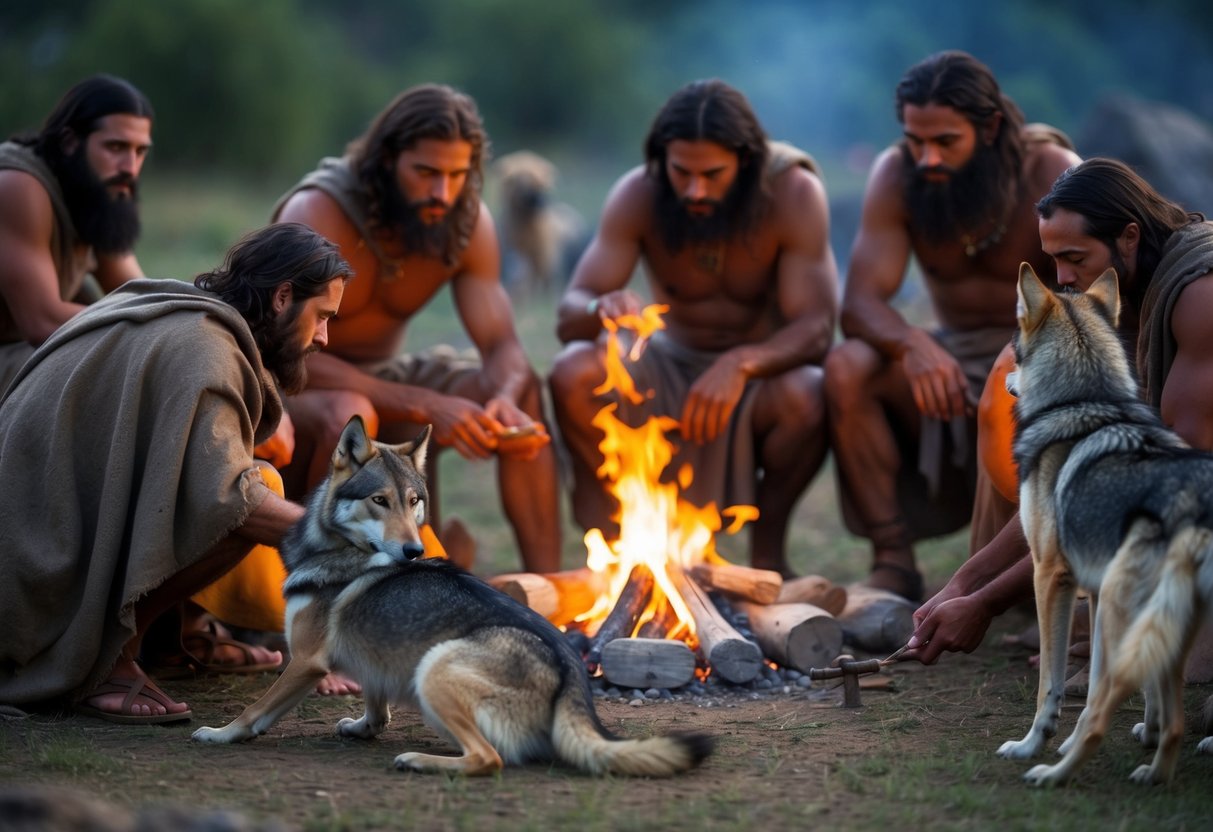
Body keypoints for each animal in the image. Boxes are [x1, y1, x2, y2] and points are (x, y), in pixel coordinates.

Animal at [192, 416, 712, 776]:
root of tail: (572, 676)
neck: (343, 549)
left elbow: (254, 711)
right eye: (379, 501)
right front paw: (362, 727)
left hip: (433, 669)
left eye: (413, 501)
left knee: (489, 759)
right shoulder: (372, 660)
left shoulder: (305, 661)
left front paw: (220, 734)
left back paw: (419, 761)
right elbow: (375, 706)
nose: (414, 551)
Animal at [996, 263, 1213, 786]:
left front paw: (1033, 743)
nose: (1007, 376)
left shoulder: (1050, 577)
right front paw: (1145, 731)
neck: (1084, 399)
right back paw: (1159, 768)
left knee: (1103, 714)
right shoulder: (1091, 590)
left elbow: (1050, 684)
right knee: (1171, 712)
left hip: (1122, 602)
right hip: (1164, 608)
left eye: (1014, 346)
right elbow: (1100, 681)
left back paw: (1052, 774)